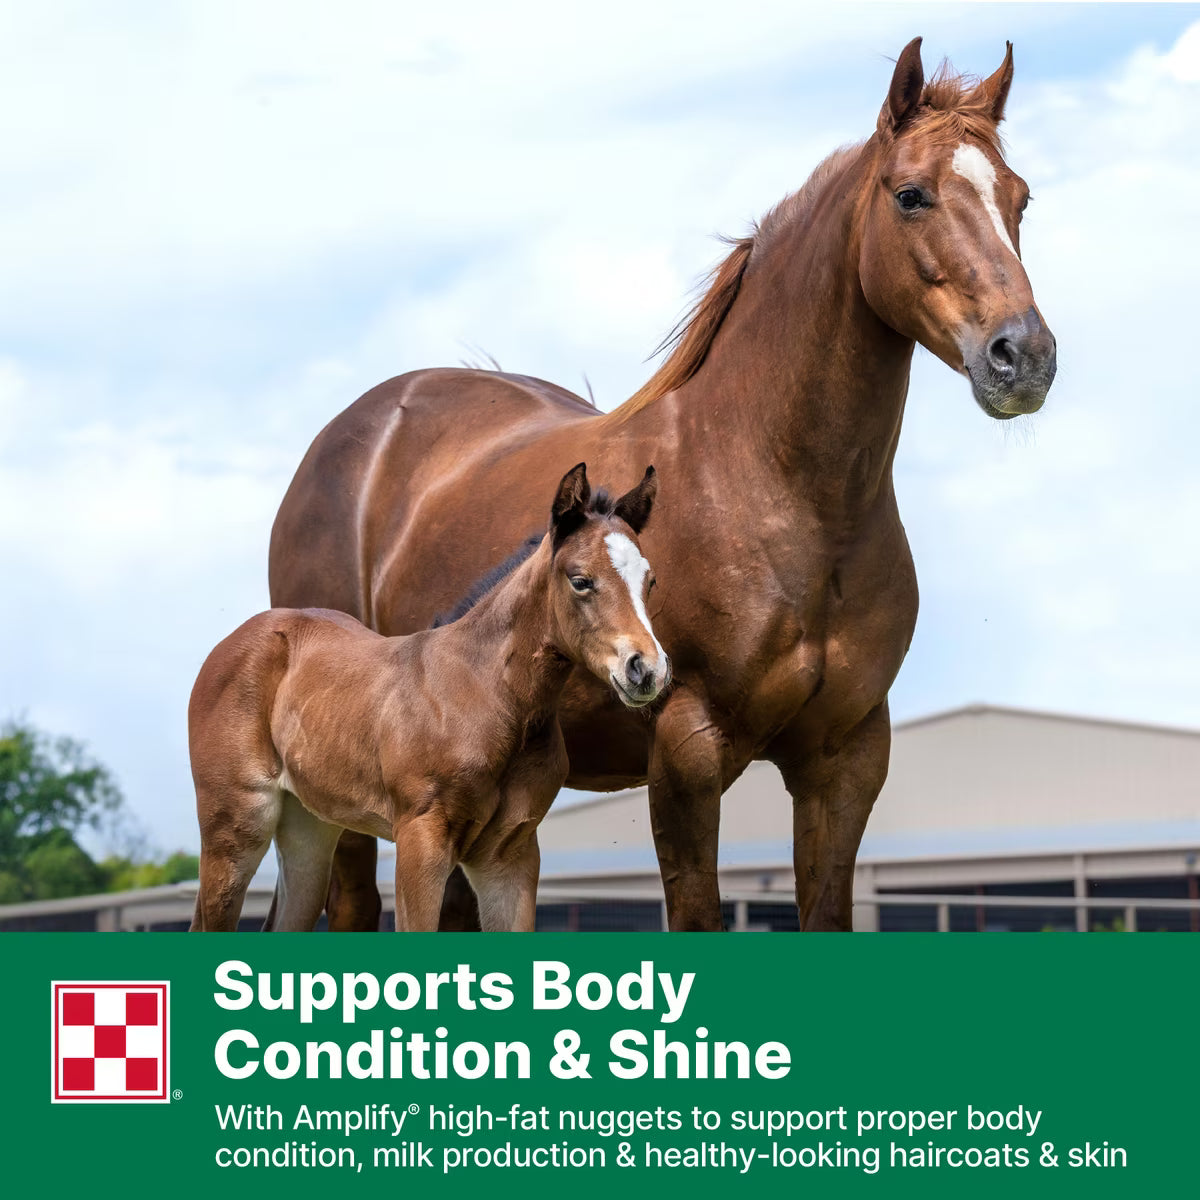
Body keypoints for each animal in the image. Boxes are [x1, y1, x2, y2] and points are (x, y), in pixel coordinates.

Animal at [190, 464, 667, 932]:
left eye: (650, 580)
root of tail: (228, 645)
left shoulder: (509, 856)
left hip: (308, 830)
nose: (647, 669)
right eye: (581, 581)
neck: (487, 693)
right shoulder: (420, 839)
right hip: (234, 827)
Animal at [268, 38, 1056, 932]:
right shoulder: (686, 752)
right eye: (911, 195)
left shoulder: (846, 760)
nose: (1024, 356)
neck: (784, 494)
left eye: (1020, 198)